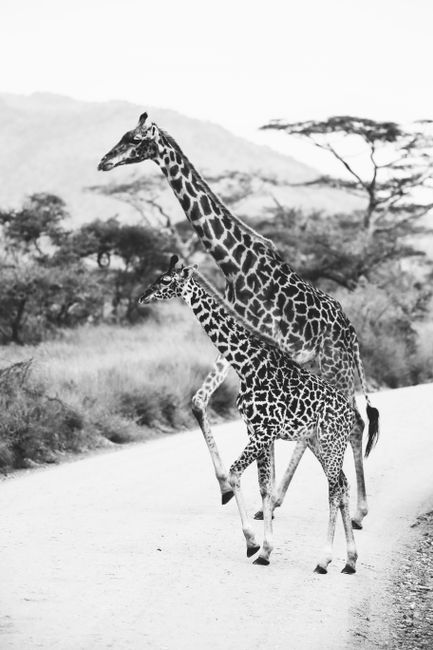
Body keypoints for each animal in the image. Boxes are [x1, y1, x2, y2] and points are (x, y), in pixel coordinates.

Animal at [98, 112, 379, 528]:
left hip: (336, 365)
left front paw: (257, 497)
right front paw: (230, 488)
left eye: (134, 140)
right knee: (329, 425)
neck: (233, 262)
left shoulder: (264, 341)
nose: (104, 161)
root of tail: (352, 331)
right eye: (122, 135)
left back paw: (358, 510)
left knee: (355, 421)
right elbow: (200, 402)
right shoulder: (238, 340)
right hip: (323, 368)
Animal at [138, 255, 362, 572]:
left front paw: (253, 543)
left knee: (333, 489)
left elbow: (235, 473)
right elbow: (264, 487)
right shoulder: (255, 429)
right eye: (159, 277)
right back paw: (350, 560)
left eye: (167, 280)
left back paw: (324, 559)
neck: (247, 365)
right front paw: (266, 550)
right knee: (342, 485)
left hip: (331, 441)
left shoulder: (264, 430)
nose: (142, 296)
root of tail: (347, 412)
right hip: (320, 442)